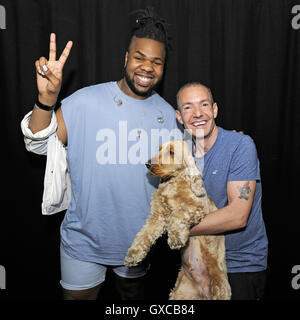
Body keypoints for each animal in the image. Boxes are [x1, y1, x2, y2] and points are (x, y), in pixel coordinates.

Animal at [123, 140, 231, 300]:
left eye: (171, 152)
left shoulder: (197, 208)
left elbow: (178, 214)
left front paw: (176, 238)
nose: (147, 164)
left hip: (220, 286)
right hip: (180, 293)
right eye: (159, 149)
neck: (172, 182)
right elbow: (143, 234)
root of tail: (203, 292)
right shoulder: (157, 216)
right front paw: (133, 254)